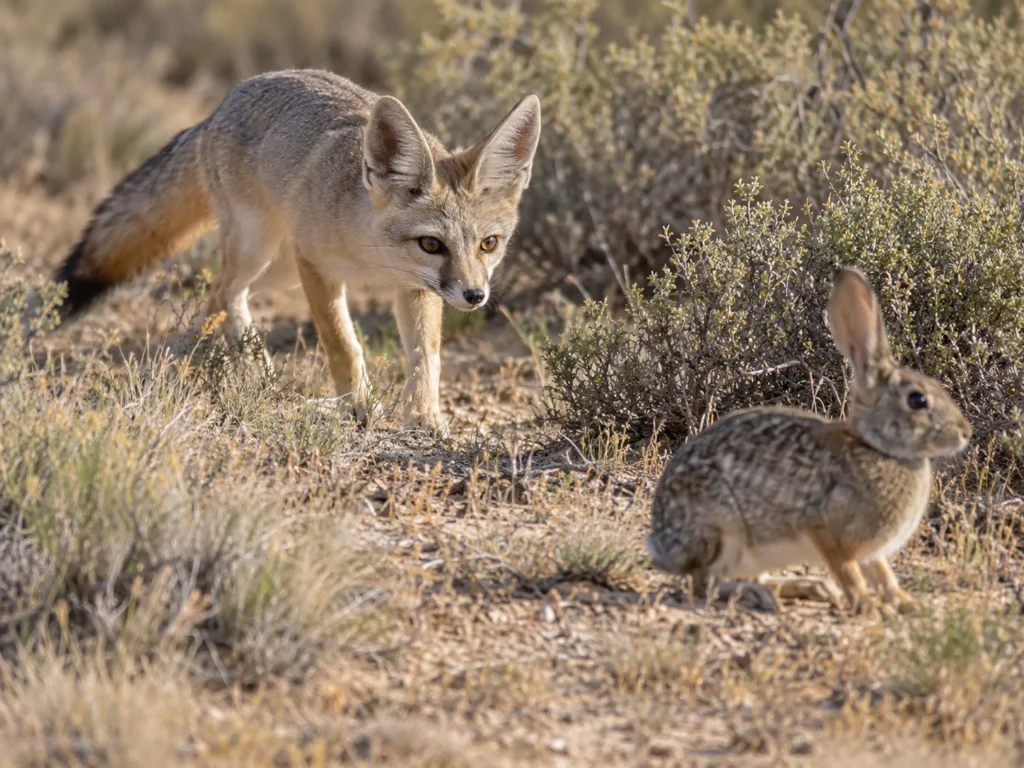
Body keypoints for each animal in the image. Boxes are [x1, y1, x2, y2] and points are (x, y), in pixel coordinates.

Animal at [53, 69, 542, 434]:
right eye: (431, 244)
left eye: (489, 244)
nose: (475, 296)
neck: (375, 258)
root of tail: (217, 109)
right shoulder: (317, 268)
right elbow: (343, 343)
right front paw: (357, 406)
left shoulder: (416, 289)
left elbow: (426, 356)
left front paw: (424, 416)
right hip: (260, 249)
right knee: (223, 291)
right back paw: (233, 363)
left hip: (278, 269)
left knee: (221, 296)